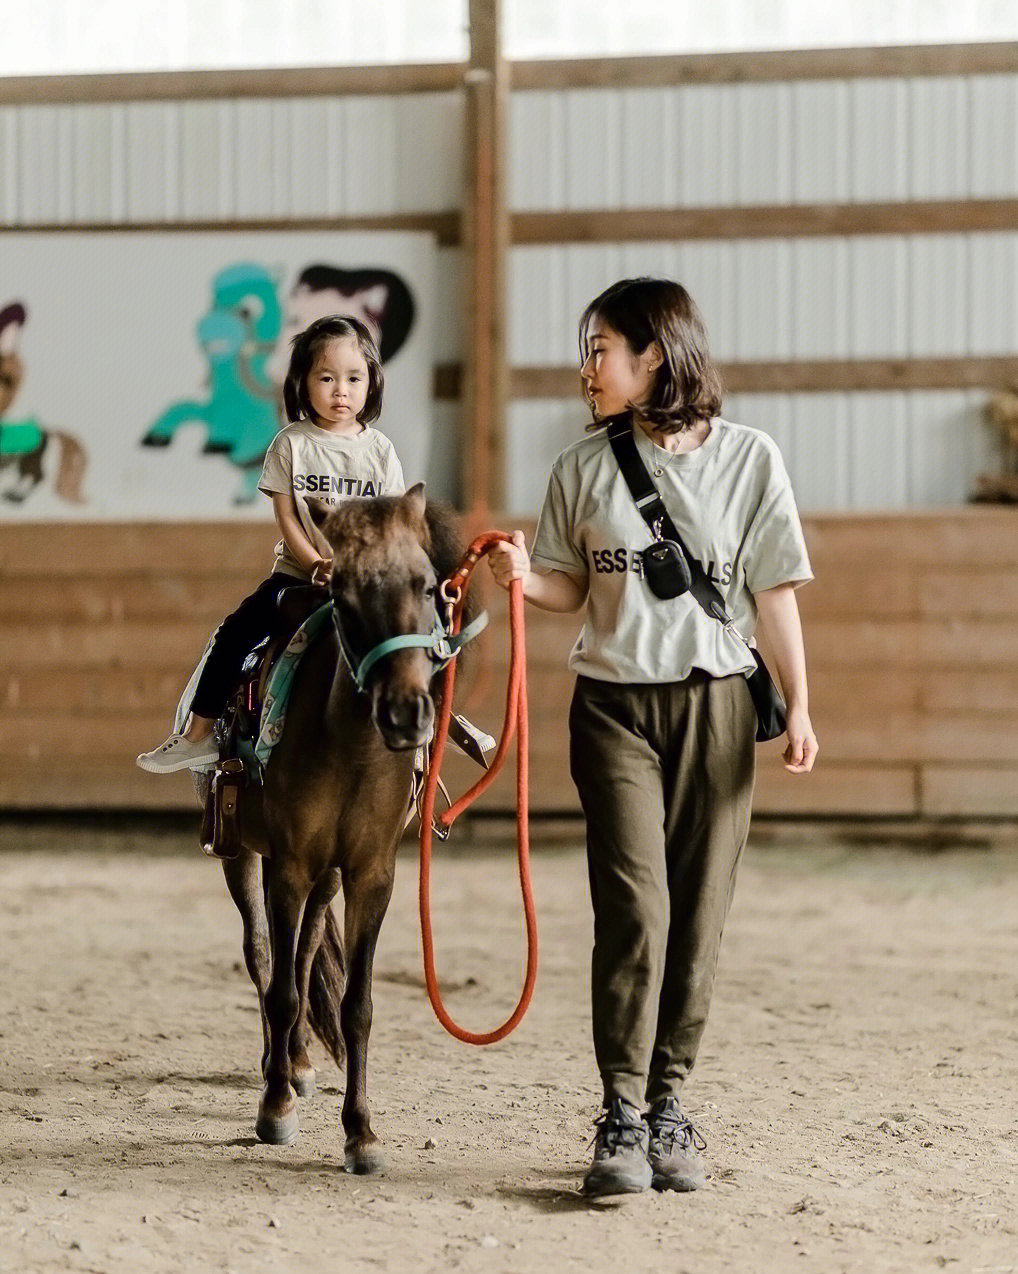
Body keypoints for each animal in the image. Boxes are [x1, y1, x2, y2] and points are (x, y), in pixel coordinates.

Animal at [215, 486, 468, 1172]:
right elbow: (278, 986)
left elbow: (356, 1004)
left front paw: (361, 1132)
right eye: (345, 598)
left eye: (428, 585)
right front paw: (274, 1110)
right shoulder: (288, 864)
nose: (406, 714)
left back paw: (299, 1059)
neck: (349, 748)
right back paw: (277, 1064)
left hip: (324, 877)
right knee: (265, 955)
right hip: (242, 852)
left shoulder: (369, 874)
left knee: (304, 957)